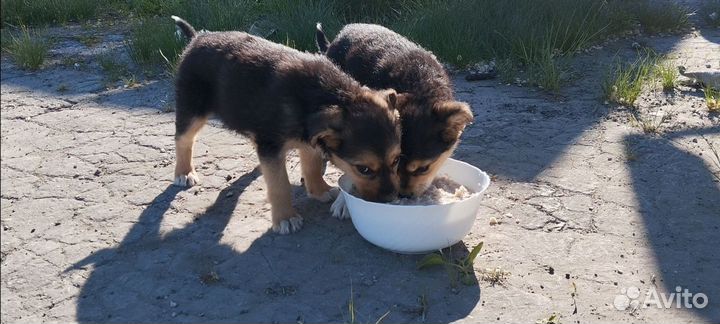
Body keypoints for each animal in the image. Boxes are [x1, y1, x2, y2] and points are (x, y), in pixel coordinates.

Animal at [171, 17, 402, 233]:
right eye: (363, 169)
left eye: (396, 160)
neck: (327, 94)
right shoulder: (272, 146)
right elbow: (279, 185)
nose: (391, 199)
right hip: (191, 107)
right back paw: (184, 172)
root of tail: (196, 38)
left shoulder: (308, 139)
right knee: (183, 139)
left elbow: (312, 166)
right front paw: (285, 217)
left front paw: (319, 190)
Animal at [318, 23, 476, 215]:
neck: (419, 86)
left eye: (423, 168)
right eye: (396, 163)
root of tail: (343, 32)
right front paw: (343, 202)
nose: (404, 196)